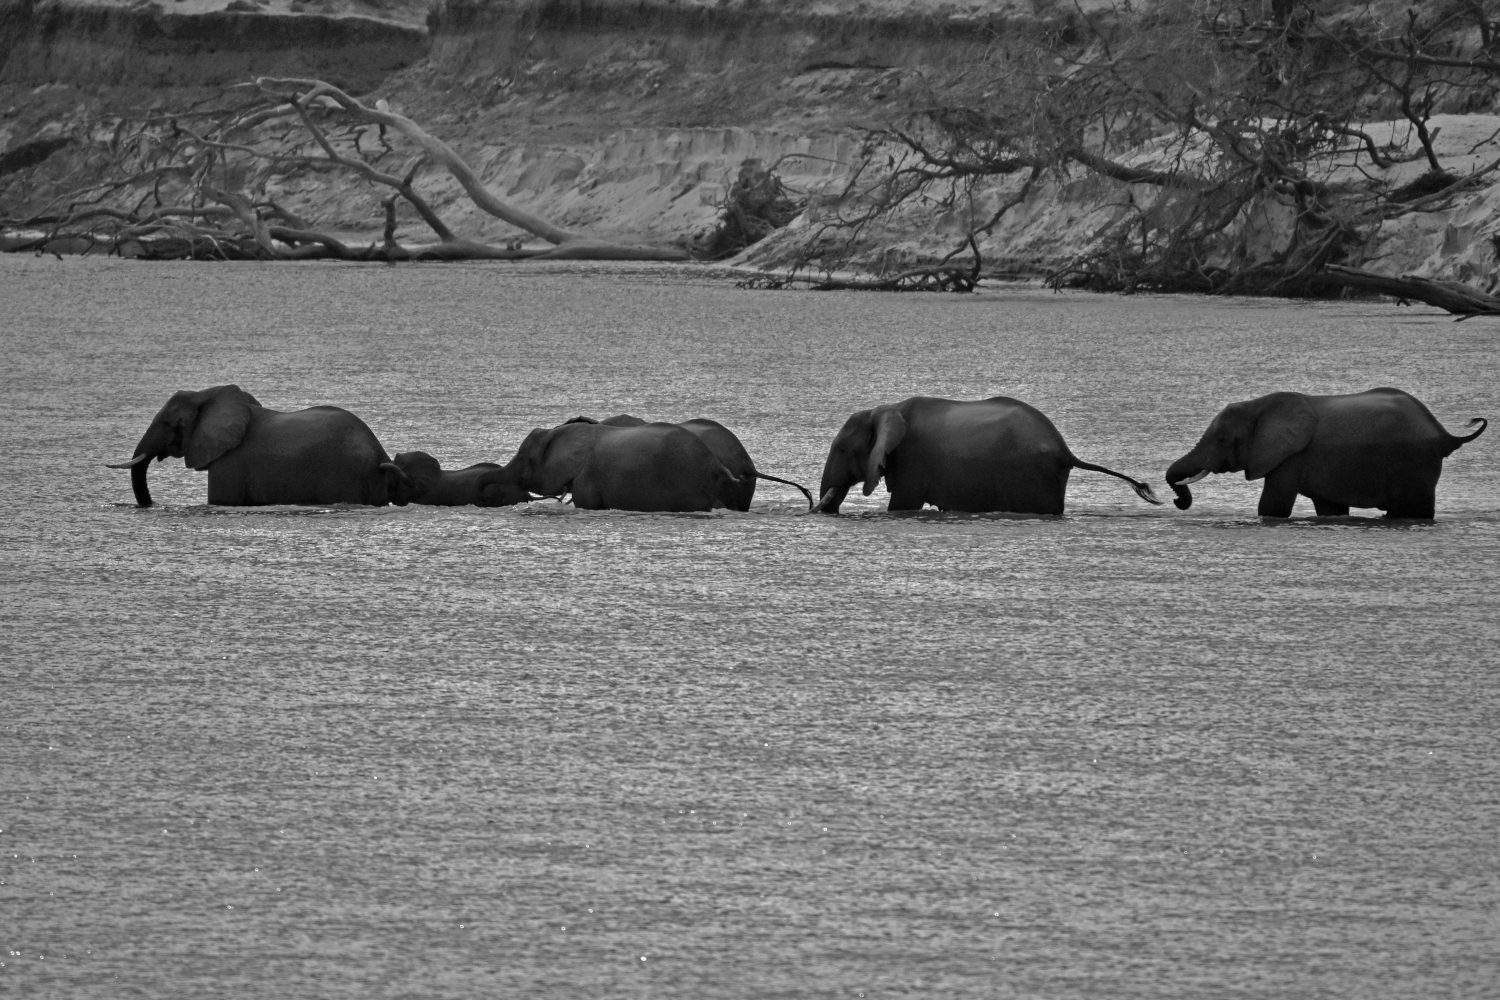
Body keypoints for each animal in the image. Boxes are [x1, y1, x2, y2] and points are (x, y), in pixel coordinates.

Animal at [108, 384, 436, 507]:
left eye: (167, 422)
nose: (150, 505)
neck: (207, 394)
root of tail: (379, 454)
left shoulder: (229, 463)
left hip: (347, 478)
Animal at [812, 395, 1162, 515]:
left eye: (842, 449)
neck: (885, 408)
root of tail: (1066, 451)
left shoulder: (911, 461)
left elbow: (902, 504)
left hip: (1032, 476)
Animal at [1164, 387, 1487, 518]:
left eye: (1221, 439)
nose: (1177, 501)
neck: (1259, 405)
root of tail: (1444, 434)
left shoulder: (1291, 456)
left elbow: (1274, 505)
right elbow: (1330, 508)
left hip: (1415, 465)